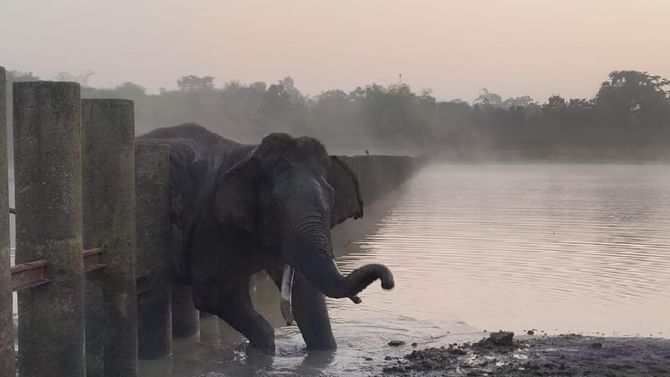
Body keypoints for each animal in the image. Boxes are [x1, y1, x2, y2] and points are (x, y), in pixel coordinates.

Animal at [138, 124, 396, 352]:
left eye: (331, 200)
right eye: (274, 205)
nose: (388, 283)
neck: (247, 152)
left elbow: (305, 292)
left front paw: (325, 354)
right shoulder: (212, 226)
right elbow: (215, 294)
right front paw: (260, 350)